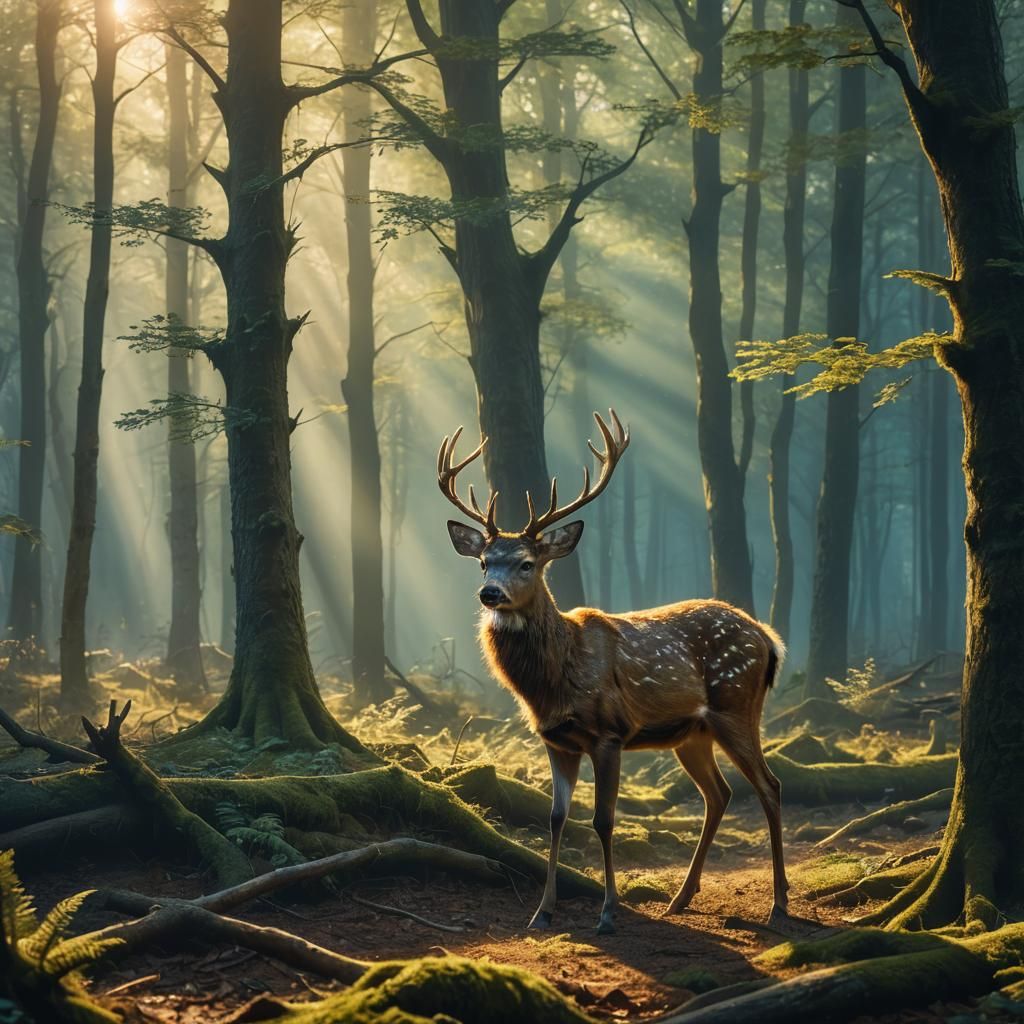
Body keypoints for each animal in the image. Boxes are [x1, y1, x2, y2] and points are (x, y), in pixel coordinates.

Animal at [438, 410, 789, 935]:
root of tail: (769, 639)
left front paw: (607, 912)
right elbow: (556, 818)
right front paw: (542, 912)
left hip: (736, 704)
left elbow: (603, 820)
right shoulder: (557, 740)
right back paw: (681, 898)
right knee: (720, 793)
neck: (554, 680)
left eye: (526, 563)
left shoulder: (610, 733)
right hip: (692, 733)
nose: (489, 594)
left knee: (769, 786)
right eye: (483, 562)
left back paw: (779, 903)